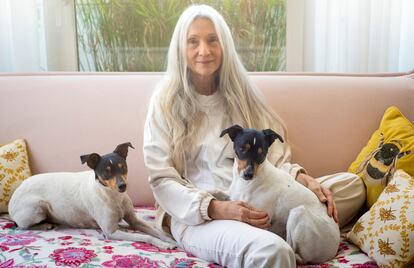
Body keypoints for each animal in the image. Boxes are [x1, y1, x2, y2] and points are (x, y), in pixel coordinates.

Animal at [8, 142, 176, 249]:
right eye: (106, 172)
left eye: (123, 167)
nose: (123, 186)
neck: (114, 197)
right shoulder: (111, 233)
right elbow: (146, 237)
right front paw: (163, 244)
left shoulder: (134, 221)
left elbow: (156, 231)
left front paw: (169, 240)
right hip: (38, 207)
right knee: (21, 227)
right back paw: (44, 225)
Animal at [220, 125, 340, 264]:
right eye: (242, 149)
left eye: (262, 153)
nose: (248, 174)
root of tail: (333, 251)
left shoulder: (261, 221)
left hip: (298, 213)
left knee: (297, 255)